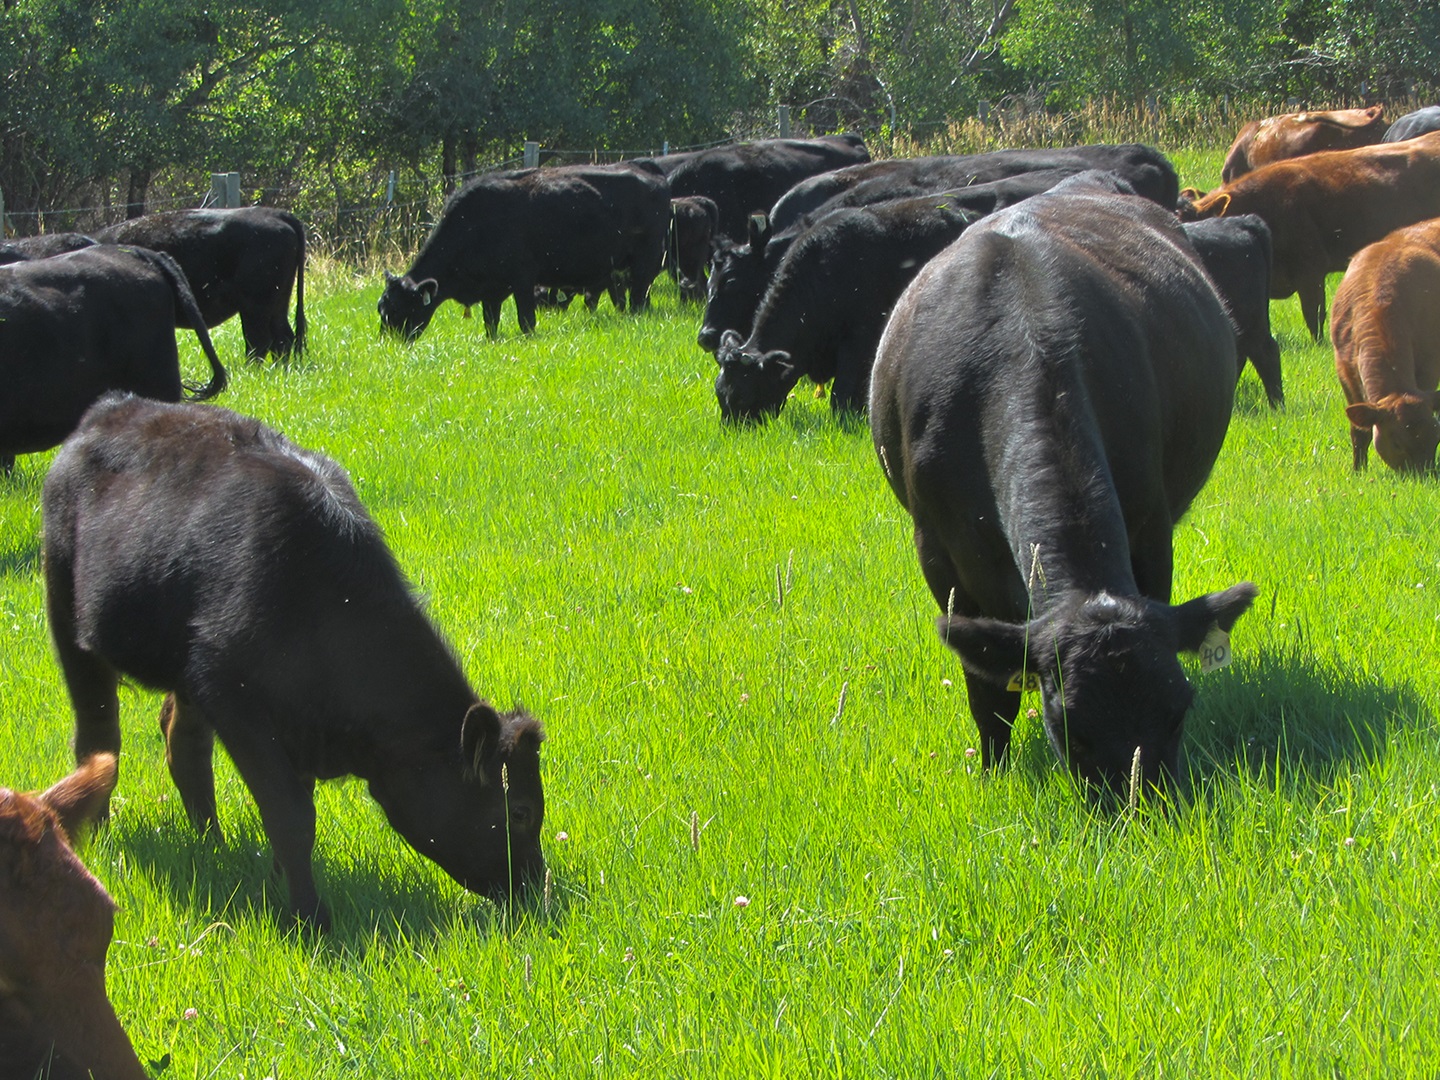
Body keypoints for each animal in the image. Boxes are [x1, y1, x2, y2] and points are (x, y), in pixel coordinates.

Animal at [42, 394, 546, 930]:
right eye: (518, 811)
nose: (535, 889)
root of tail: (114, 406)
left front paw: (279, 886)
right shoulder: (238, 704)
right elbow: (292, 818)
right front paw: (310, 918)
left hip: (188, 666)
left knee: (183, 744)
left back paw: (213, 844)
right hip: (68, 616)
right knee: (99, 734)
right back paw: (99, 836)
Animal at [379, 161, 670, 341]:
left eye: (399, 308)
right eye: (381, 308)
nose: (388, 345)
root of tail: (647, 170)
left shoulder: (522, 279)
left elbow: (526, 320)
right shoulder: (492, 289)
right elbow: (491, 324)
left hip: (645, 261)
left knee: (638, 299)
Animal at [869, 173, 1257, 800]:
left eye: (1180, 709)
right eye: (1069, 725)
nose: (1143, 811)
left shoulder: (1151, 529)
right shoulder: (942, 557)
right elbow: (988, 695)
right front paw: (993, 775)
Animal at [1331, 217, 1440, 472]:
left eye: (1436, 439)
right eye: (1397, 443)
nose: (1424, 475)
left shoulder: (1430, 365)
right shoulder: (1344, 370)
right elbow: (1359, 430)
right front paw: (1358, 470)